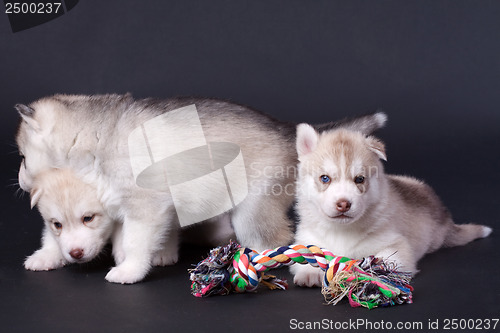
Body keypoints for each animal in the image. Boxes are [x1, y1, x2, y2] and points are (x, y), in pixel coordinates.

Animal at [14, 93, 382, 282]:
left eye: (22, 157)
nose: (18, 180)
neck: (96, 138)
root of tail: (284, 128)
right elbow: (64, 233)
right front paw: (47, 256)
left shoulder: (145, 206)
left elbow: (133, 241)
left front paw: (129, 269)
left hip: (253, 210)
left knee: (275, 239)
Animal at [292, 124, 492, 286]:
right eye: (325, 178)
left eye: (359, 179)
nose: (343, 204)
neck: (341, 231)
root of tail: (445, 215)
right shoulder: (306, 239)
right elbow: (309, 254)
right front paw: (309, 273)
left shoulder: (397, 245)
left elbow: (382, 259)